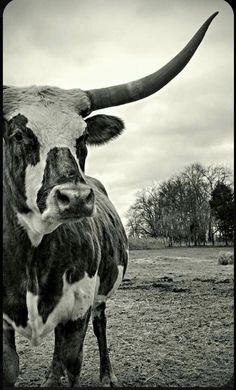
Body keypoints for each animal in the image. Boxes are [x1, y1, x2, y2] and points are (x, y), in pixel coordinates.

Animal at [3, 12, 218, 386]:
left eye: (83, 139)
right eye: (18, 134)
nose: (75, 198)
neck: (32, 251)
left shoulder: (78, 310)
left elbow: (70, 366)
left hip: (98, 299)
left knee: (100, 325)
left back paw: (107, 375)